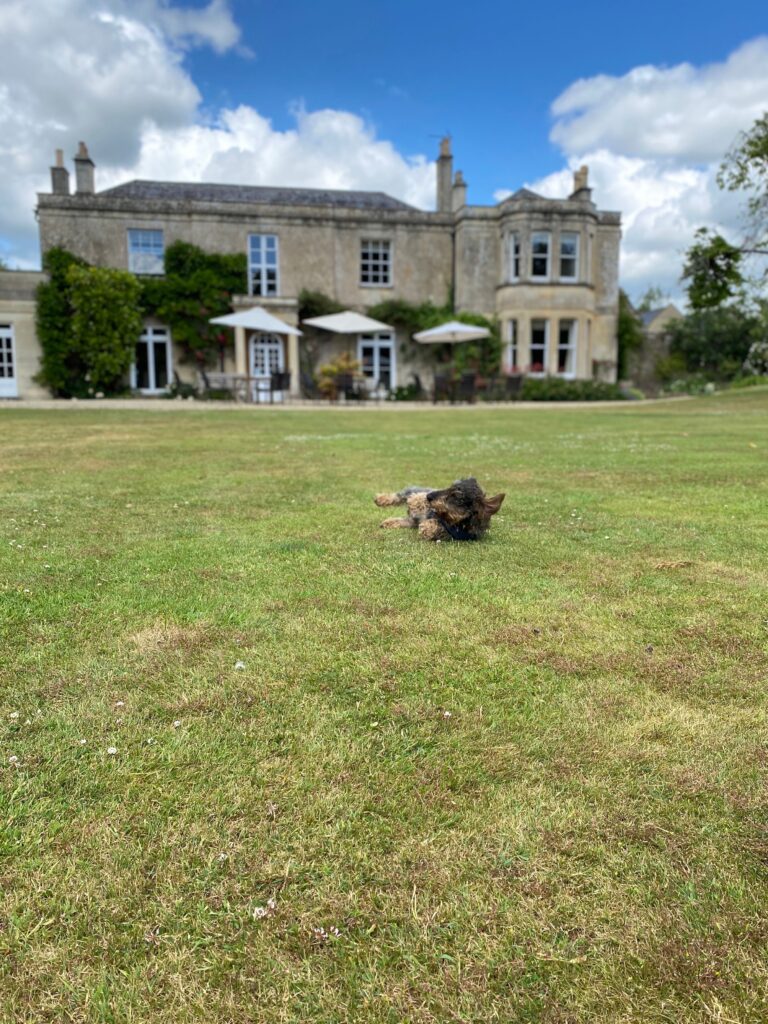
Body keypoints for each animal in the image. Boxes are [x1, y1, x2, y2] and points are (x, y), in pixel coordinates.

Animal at [374, 479, 505, 544]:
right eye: (448, 488)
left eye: (455, 495)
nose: (429, 496)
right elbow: (419, 500)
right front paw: (417, 501)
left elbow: (436, 530)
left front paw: (429, 527)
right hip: (412, 491)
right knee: (400, 495)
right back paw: (381, 499)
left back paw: (389, 522)